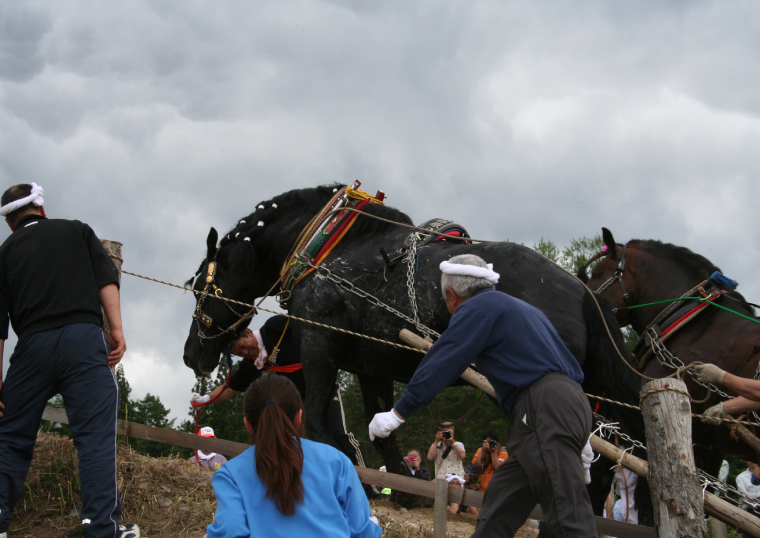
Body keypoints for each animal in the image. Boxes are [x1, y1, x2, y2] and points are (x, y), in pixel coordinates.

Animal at [186, 184, 652, 520]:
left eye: (198, 285)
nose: (192, 355)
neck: (329, 252)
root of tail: (583, 292)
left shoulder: (320, 345)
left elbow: (317, 421)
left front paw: (362, 486)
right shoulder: (372, 363)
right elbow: (381, 428)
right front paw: (403, 491)